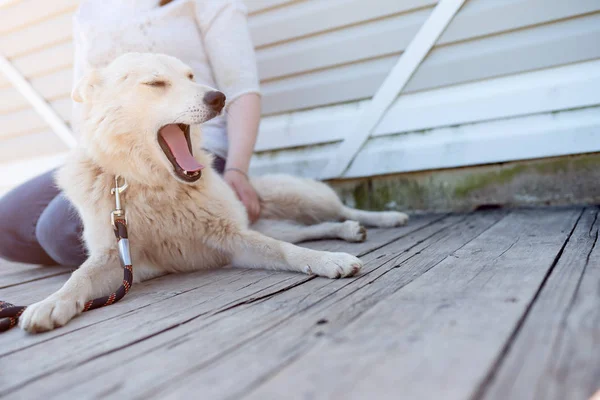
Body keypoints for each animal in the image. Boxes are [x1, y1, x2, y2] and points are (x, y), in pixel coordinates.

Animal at [18, 54, 408, 334]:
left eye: (191, 77)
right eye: (155, 83)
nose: (219, 97)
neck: (154, 185)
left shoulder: (232, 237)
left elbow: (288, 251)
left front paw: (329, 260)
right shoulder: (122, 258)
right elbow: (79, 277)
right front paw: (51, 303)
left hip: (301, 196)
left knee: (337, 212)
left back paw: (383, 218)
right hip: (277, 220)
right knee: (308, 229)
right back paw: (348, 231)